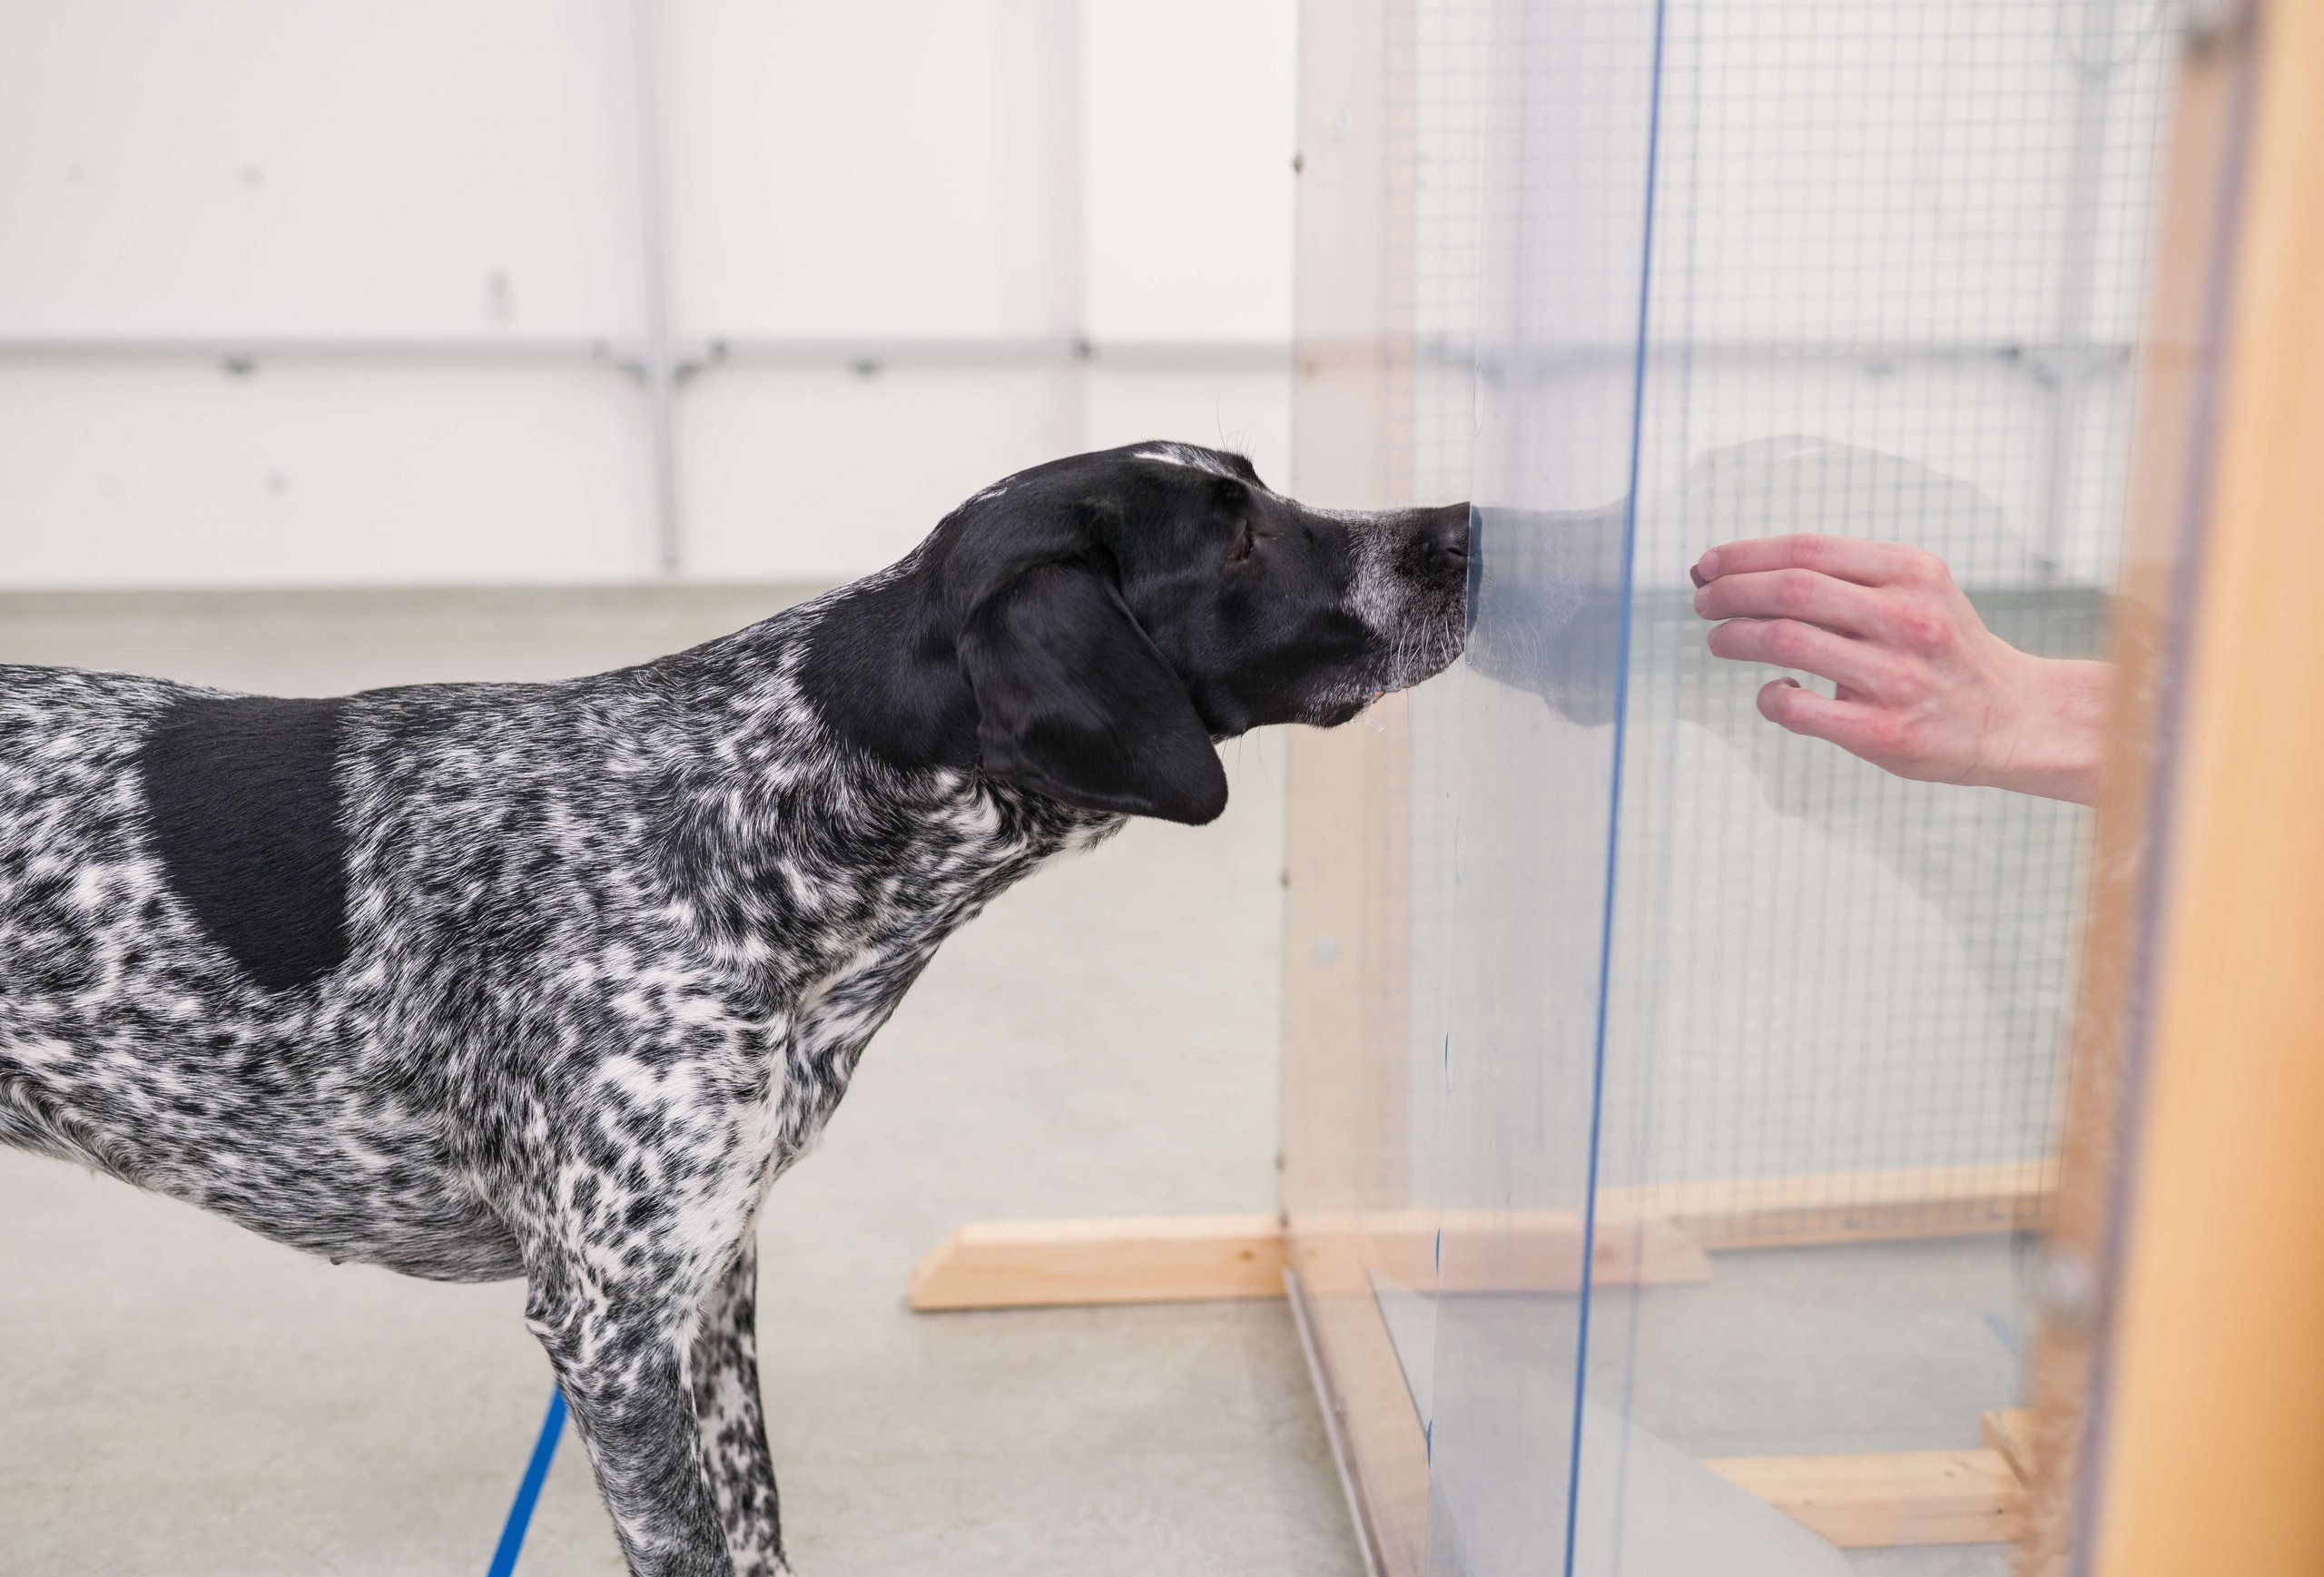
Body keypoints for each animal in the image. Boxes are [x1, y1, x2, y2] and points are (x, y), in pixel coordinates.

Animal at [0, 441, 1468, 1577]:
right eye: (1237, 541)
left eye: (1260, 490)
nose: (1461, 528)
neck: (757, 815)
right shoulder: (611, 1332)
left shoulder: (707, 1284)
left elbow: (756, 1527)